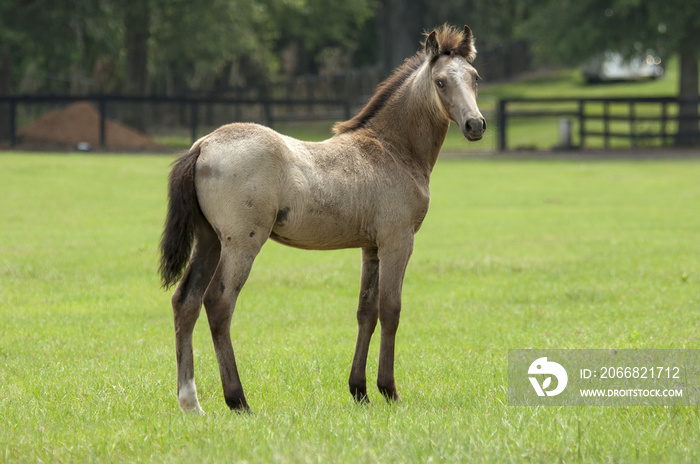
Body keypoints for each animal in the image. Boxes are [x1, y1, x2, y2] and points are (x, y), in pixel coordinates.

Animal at [161, 23, 484, 412]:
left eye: (475, 78)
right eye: (440, 81)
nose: (476, 124)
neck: (392, 149)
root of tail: (202, 145)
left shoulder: (370, 248)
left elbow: (366, 312)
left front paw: (359, 391)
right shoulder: (398, 241)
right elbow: (391, 310)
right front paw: (389, 390)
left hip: (209, 240)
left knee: (186, 302)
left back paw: (190, 402)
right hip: (241, 244)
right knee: (218, 303)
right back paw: (238, 400)